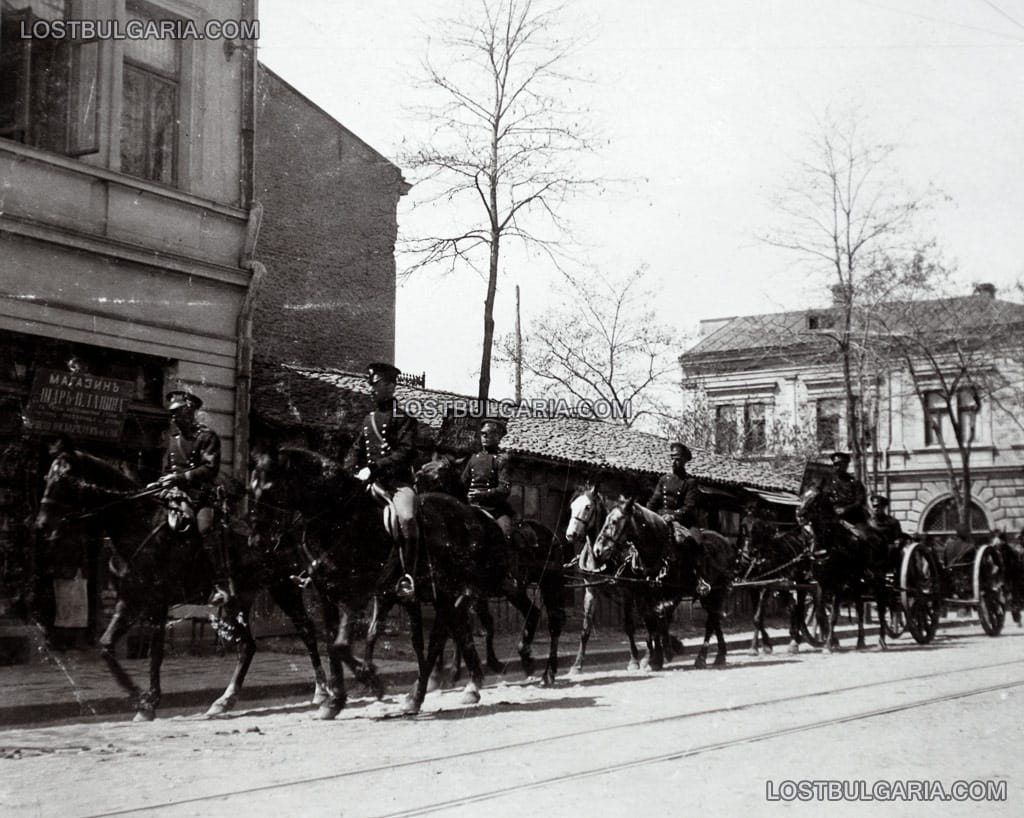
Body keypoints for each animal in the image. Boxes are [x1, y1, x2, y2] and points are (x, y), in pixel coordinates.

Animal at [36, 444, 327, 720]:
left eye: (64, 480)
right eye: (47, 478)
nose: (41, 525)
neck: (137, 524)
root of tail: (283, 529)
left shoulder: (157, 602)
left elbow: (155, 654)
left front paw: (148, 701)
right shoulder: (129, 599)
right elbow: (107, 647)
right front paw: (141, 699)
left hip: (283, 588)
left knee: (307, 631)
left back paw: (322, 691)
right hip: (240, 599)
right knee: (247, 645)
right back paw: (225, 700)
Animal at [249, 448, 501, 716]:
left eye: (269, 488)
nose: (255, 541)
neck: (340, 519)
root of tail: (469, 512)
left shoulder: (356, 596)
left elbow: (341, 645)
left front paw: (371, 681)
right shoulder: (330, 596)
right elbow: (334, 645)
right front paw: (335, 700)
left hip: (446, 594)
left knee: (439, 641)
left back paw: (420, 694)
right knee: (450, 634)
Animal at [413, 456, 573, 687]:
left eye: (442, 468)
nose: (417, 476)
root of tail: (551, 536)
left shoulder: (468, 592)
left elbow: (462, 625)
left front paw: (454, 671)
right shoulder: (468, 594)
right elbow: (467, 625)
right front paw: (443, 673)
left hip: (549, 583)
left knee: (554, 622)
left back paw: (547, 672)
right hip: (515, 590)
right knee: (533, 612)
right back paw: (526, 658)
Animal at [589, 495, 733, 667]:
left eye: (615, 521)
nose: (598, 549)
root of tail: (724, 540)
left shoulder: (672, 593)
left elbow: (661, 617)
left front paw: (665, 652)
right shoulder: (644, 594)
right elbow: (651, 620)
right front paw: (655, 657)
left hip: (716, 591)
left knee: (711, 622)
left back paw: (702, 657)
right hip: (709, 596)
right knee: (714, 618)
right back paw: (720, 655)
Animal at [790, 487, 888, 651]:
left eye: (815, 499)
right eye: (802, 496)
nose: (799, 513)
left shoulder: (838, 585)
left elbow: (833, 616)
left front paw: (829, 645)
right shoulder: (822, 584)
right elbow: (820, 614)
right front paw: (830, 642)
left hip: (877, 580)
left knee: (880, 606)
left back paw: (881, 640)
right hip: (856, 583)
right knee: (860, 608)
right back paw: (860, 641)